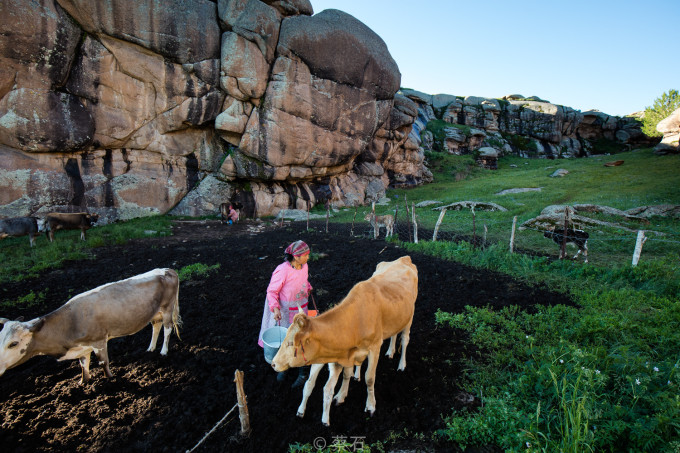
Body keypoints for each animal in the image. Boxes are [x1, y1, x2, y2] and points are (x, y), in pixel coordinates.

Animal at [0, 266, 181, 384]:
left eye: (13, 343)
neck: (71, 321)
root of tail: (167, 270)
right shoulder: (82, 346)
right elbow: (83, 365)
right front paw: (83, 381)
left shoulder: (99, 341)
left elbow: (103, 363)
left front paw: (110, 379)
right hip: (155, 312)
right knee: (156, 327)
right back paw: (150, 348)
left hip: (167, 308)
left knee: (167, 328)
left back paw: (163, 351)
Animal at [270, 256, 414, 426]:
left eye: (291, 343)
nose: (273, 364)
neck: (356, 319)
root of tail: (403, 259)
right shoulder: (344, 355)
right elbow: (344, 375)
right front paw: (341, 395)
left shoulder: (374, 347)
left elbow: (370, 378)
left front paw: (370, 406)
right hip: (396, 319)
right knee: (393, 334)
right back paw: (388, 353)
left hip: (409, 318)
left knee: (404, 339)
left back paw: (402, 364)